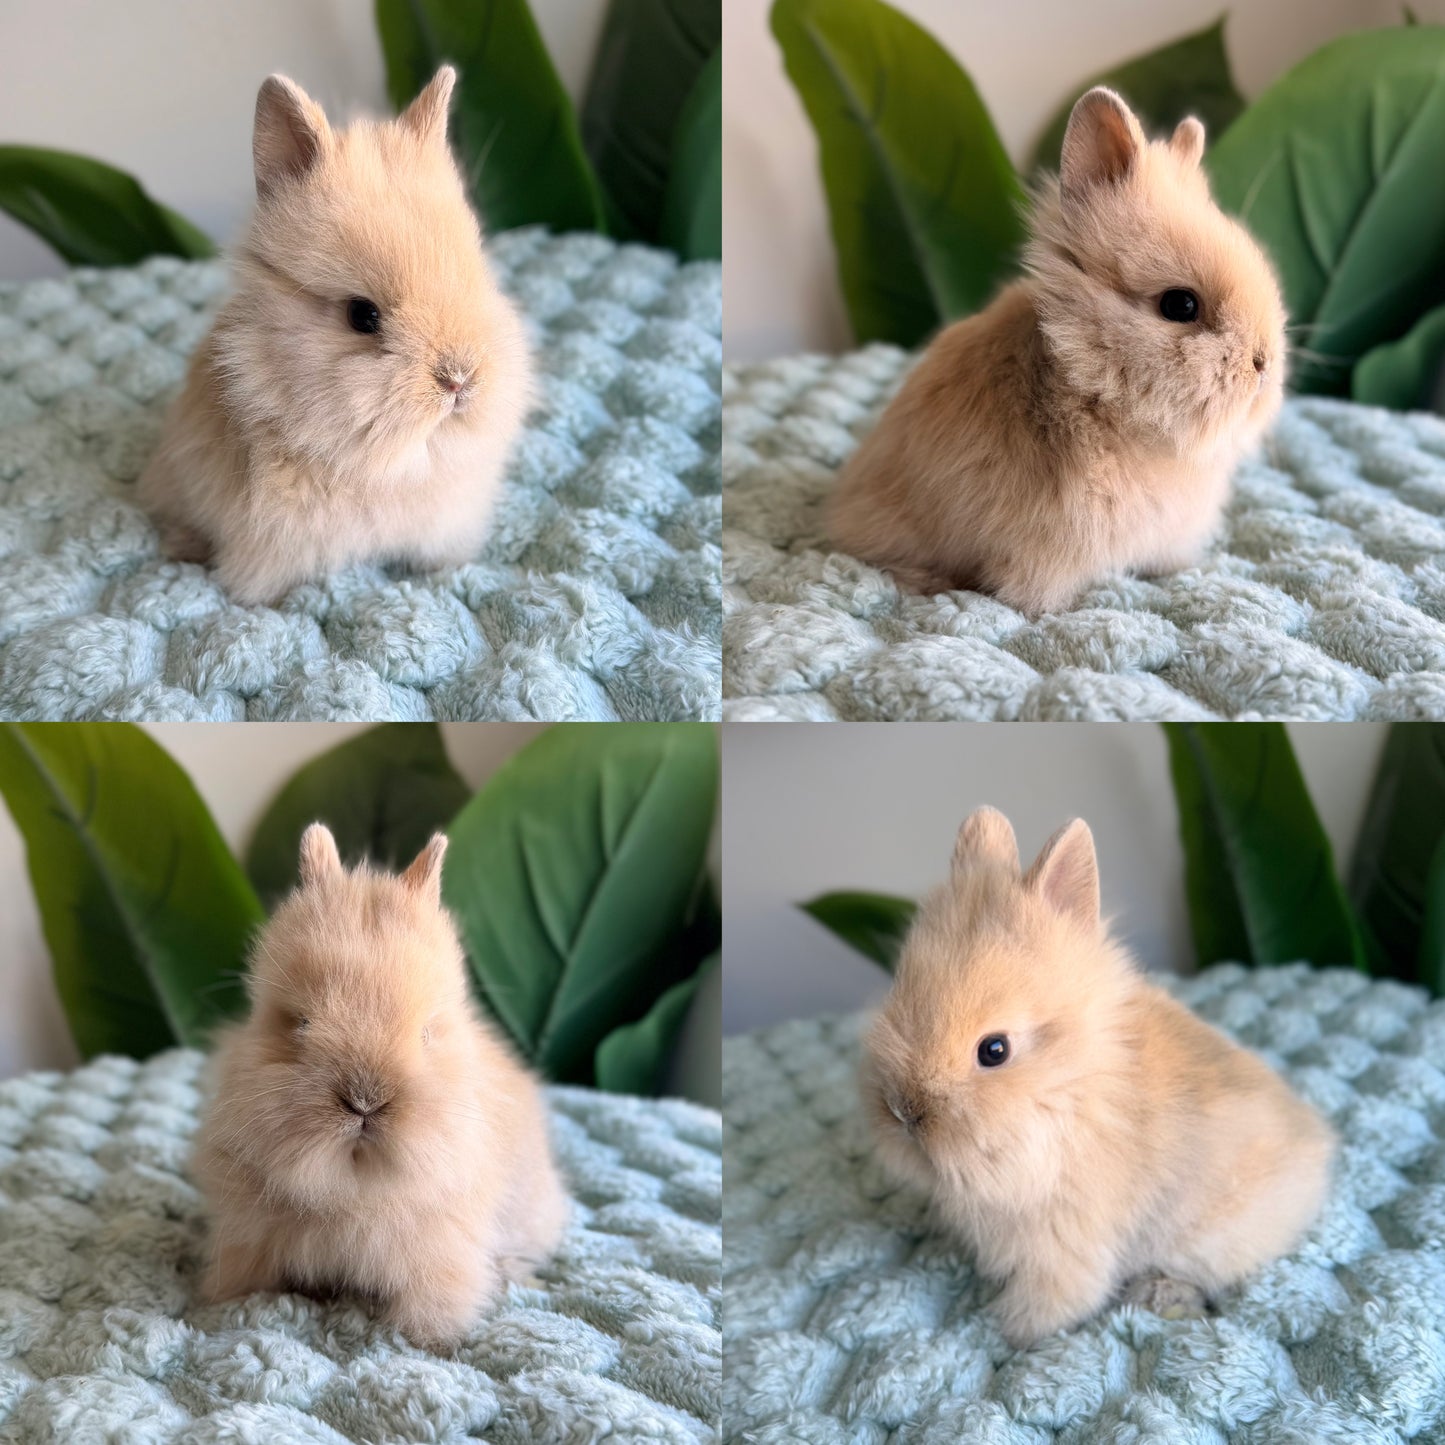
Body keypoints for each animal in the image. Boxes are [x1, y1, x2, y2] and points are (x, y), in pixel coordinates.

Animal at [192, 824, 568, 1351]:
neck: (356, 1184)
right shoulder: (245, 1232)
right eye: (300, 1023)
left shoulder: (443, 1252)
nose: (365, 1101)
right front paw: (213, 1304)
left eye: (427, 1033)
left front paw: (432, 1342)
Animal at [862, 806, 1334, 1350]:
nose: (902, 1111)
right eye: (897, 993)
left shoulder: (1063, 1244)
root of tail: (1317, 1151)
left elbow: (1052, 1305)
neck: (1069, 1090)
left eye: (994, 1050)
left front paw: (1007, 1337)